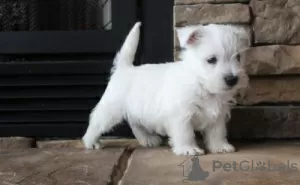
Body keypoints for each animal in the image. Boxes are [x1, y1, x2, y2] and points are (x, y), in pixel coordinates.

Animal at [82, 22, 251, 156]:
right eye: (211, 60)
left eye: (238, 57)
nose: (232, 79)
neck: (201, 83)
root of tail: (125, 68)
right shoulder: (181, 115)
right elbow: (185, 133)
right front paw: (188, 149)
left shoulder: (218, 114)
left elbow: (217, 132)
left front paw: (220, 146)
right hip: (111, 110)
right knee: (96, 122)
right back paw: (91, 142)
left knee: (136, 123)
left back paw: (148, 140)